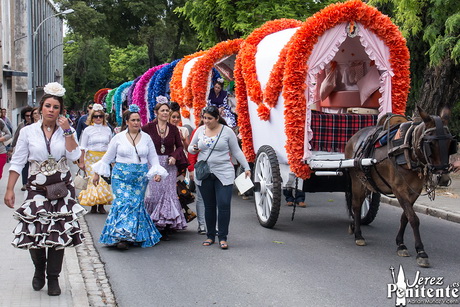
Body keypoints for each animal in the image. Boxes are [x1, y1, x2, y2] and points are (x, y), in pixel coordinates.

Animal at [344, 107, 456, 268]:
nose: (442, 178)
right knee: (356, 205)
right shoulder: (399, 190)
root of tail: (354, 137)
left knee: (358, 203)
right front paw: (421, 252)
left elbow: (405, 217)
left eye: (450, 143)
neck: (409, 153)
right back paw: (358, 234)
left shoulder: (414, 192)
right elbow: (413, 218)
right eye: (430, 144)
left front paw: (401, 244)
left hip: (367, 182)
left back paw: (354, 226)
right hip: (356, 180)